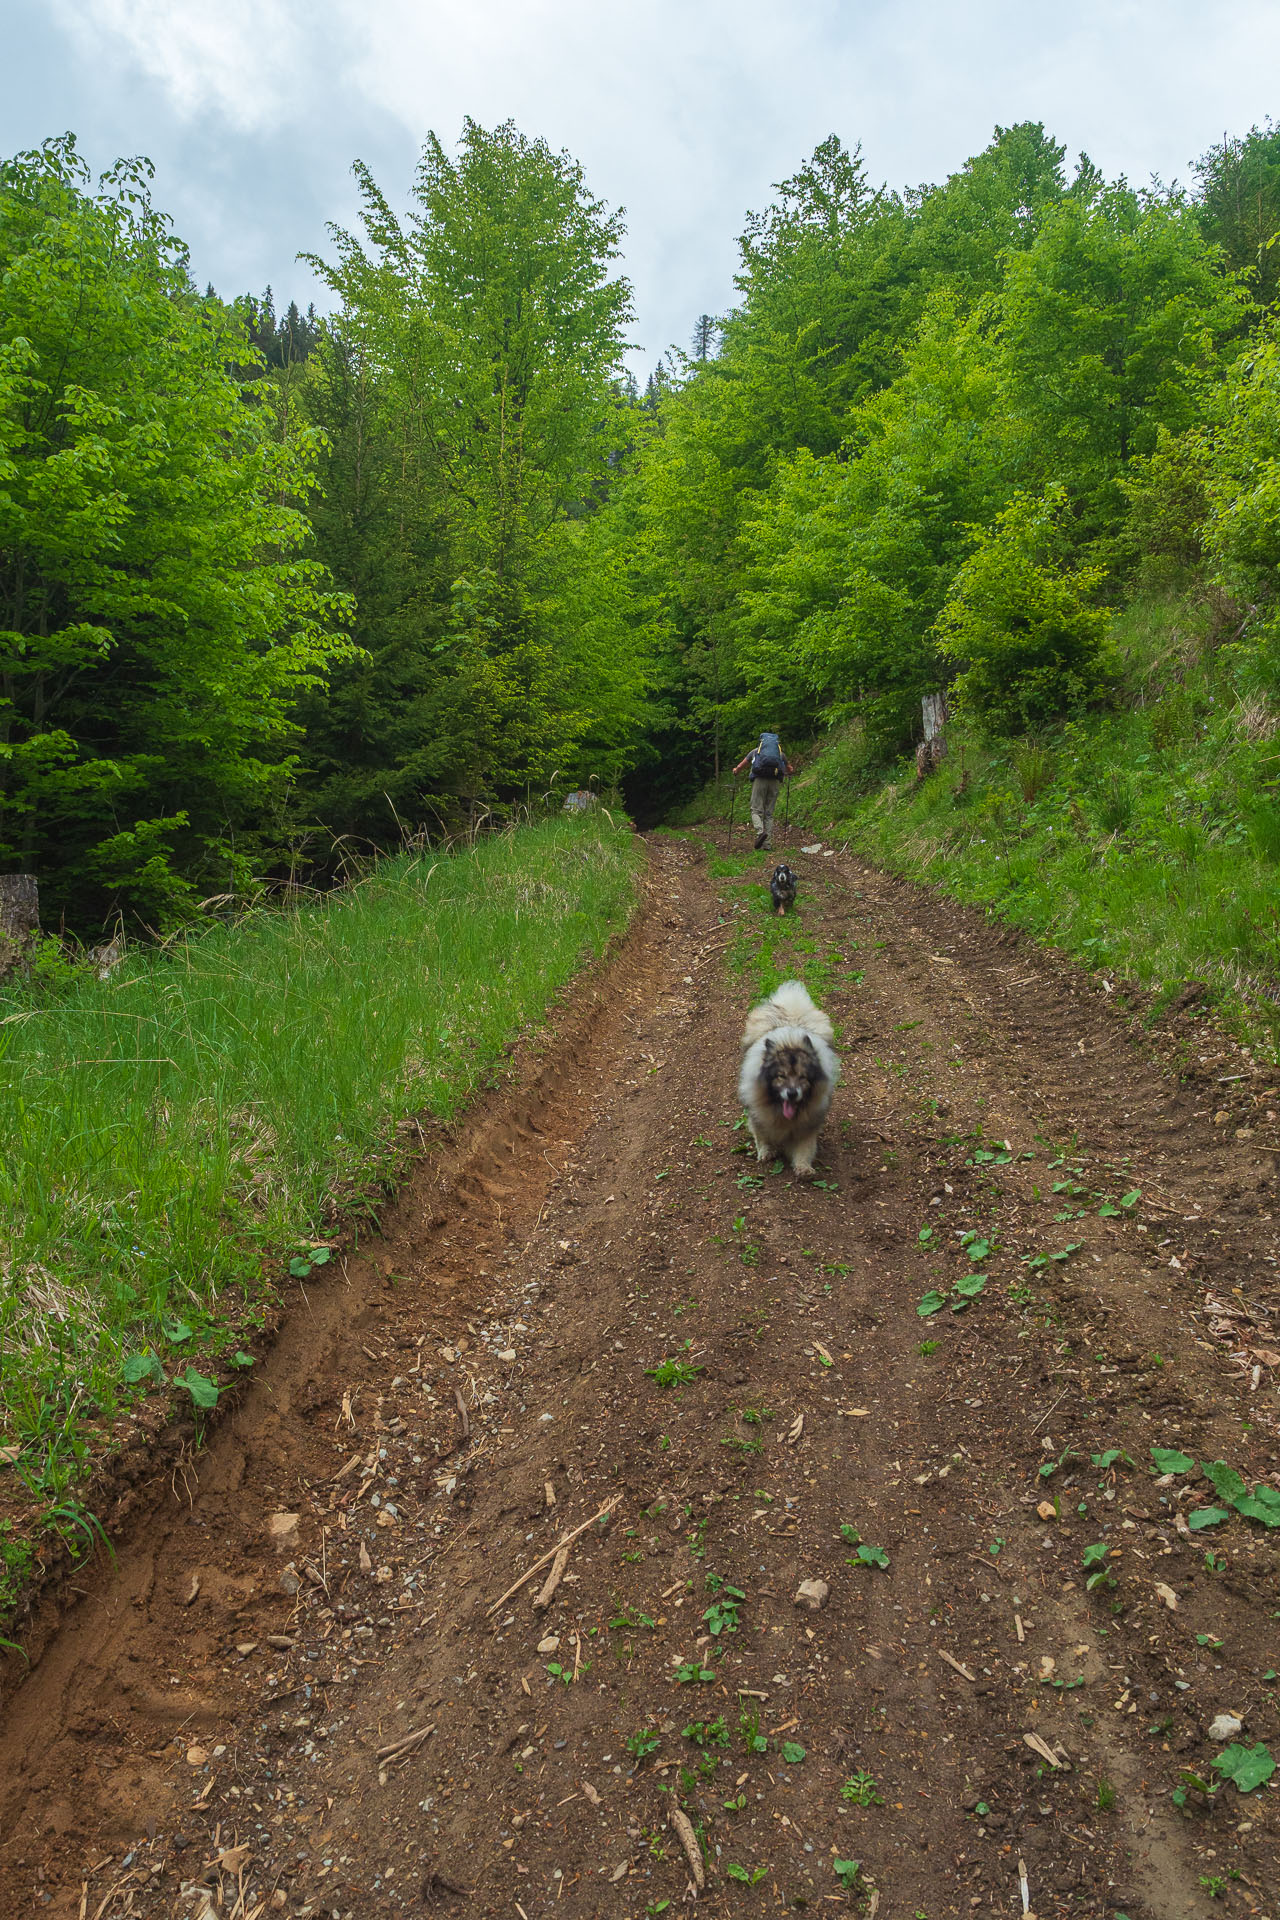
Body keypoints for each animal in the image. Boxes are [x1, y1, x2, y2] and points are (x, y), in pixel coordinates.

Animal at [740, 983, 840, 1175]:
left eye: (803, 1077)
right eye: (781, 1076)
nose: (792, 1093)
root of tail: (791, 1018)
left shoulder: (807, 1126)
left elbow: (805, 1148)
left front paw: (803, 1168)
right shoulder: (759, 1115)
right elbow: (761, 1137)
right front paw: (766, 1153)